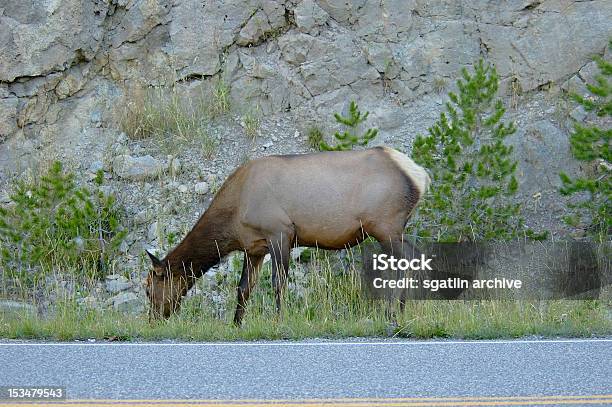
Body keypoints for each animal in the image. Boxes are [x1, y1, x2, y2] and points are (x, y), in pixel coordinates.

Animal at [143, 147, 430, 326]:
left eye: (148, 289)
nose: (153, 319)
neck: (233, 216)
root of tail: (421, 175)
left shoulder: (280, 232)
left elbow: (278, 282)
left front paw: (278, 320)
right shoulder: (254, 248)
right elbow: (244, 288)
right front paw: (236, 324)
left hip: (385, 225)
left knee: (409, 258)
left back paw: (394, 312)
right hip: (393, 227)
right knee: (414, 256)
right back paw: (402, 310)